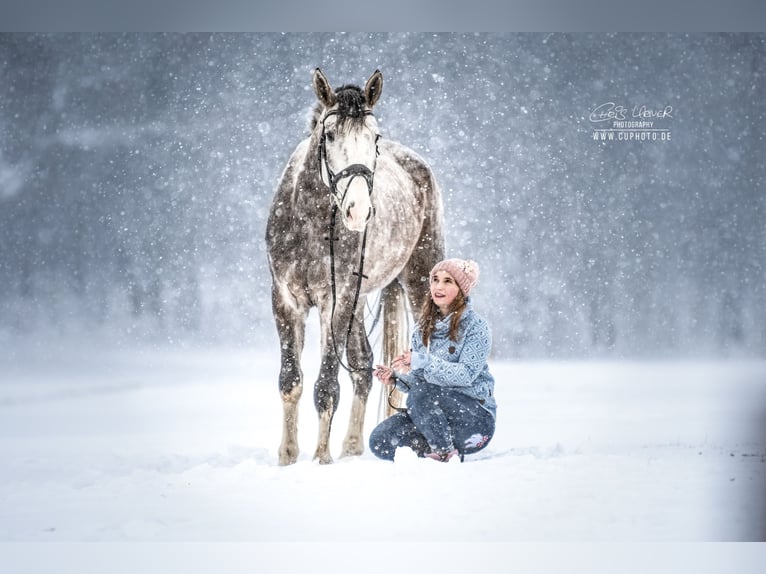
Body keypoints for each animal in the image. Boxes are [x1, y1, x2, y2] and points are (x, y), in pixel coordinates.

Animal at [268, 68, 448, 468]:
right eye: (330, 134)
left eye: (374, 137)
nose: (359, 211)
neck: (311, 222)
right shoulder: (286, 301)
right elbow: (291, 380)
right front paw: (287, 456)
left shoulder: (335, 303)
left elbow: (326, 384)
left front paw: (321, 457)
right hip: (358, 300)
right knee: (364, 365)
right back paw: (351, 446)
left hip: (418, 279)